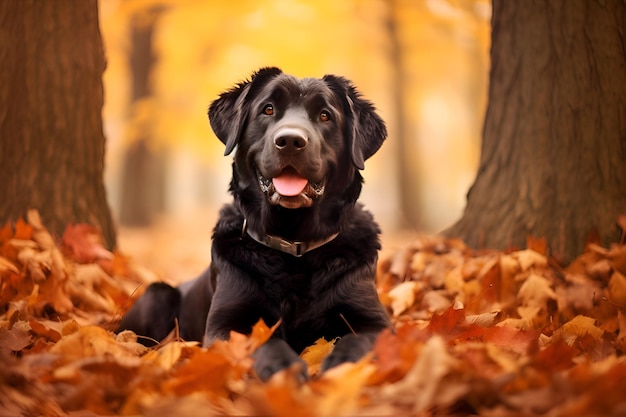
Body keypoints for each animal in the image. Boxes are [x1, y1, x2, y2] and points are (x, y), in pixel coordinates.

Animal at [117, 67, 390, 380]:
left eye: (325, 115)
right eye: (268, 109)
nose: (291, 141)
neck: (294, 243)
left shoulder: (374, 320)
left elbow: (358, 340)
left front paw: (342, 365)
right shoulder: (228, 323)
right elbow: (264, 343)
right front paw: (284, 369)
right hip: (156, 294)